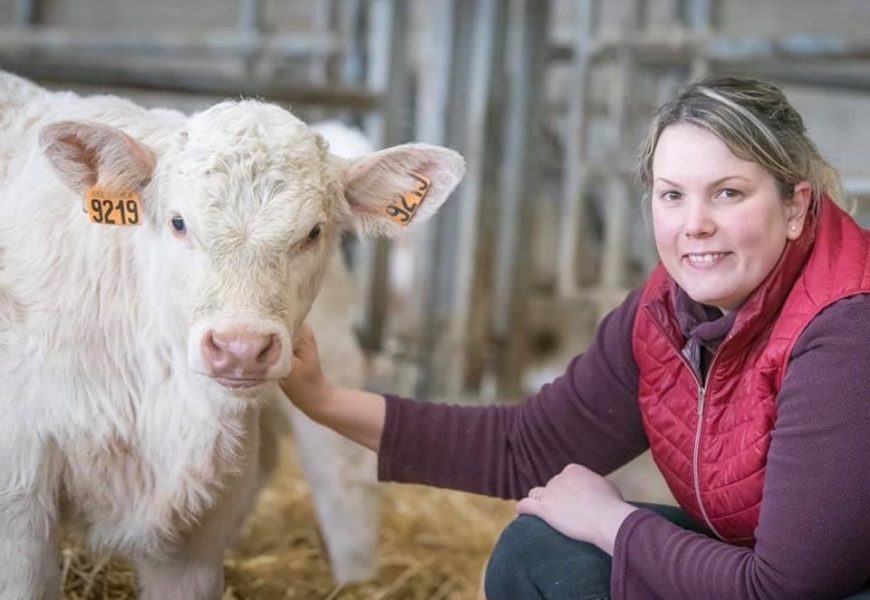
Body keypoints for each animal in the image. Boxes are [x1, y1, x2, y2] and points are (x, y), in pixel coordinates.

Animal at [0, 71, 466, 600]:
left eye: (313, 231)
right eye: (178, 222)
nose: (241, 348)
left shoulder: (199, 537)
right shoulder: (18, 499)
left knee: (344, 481)